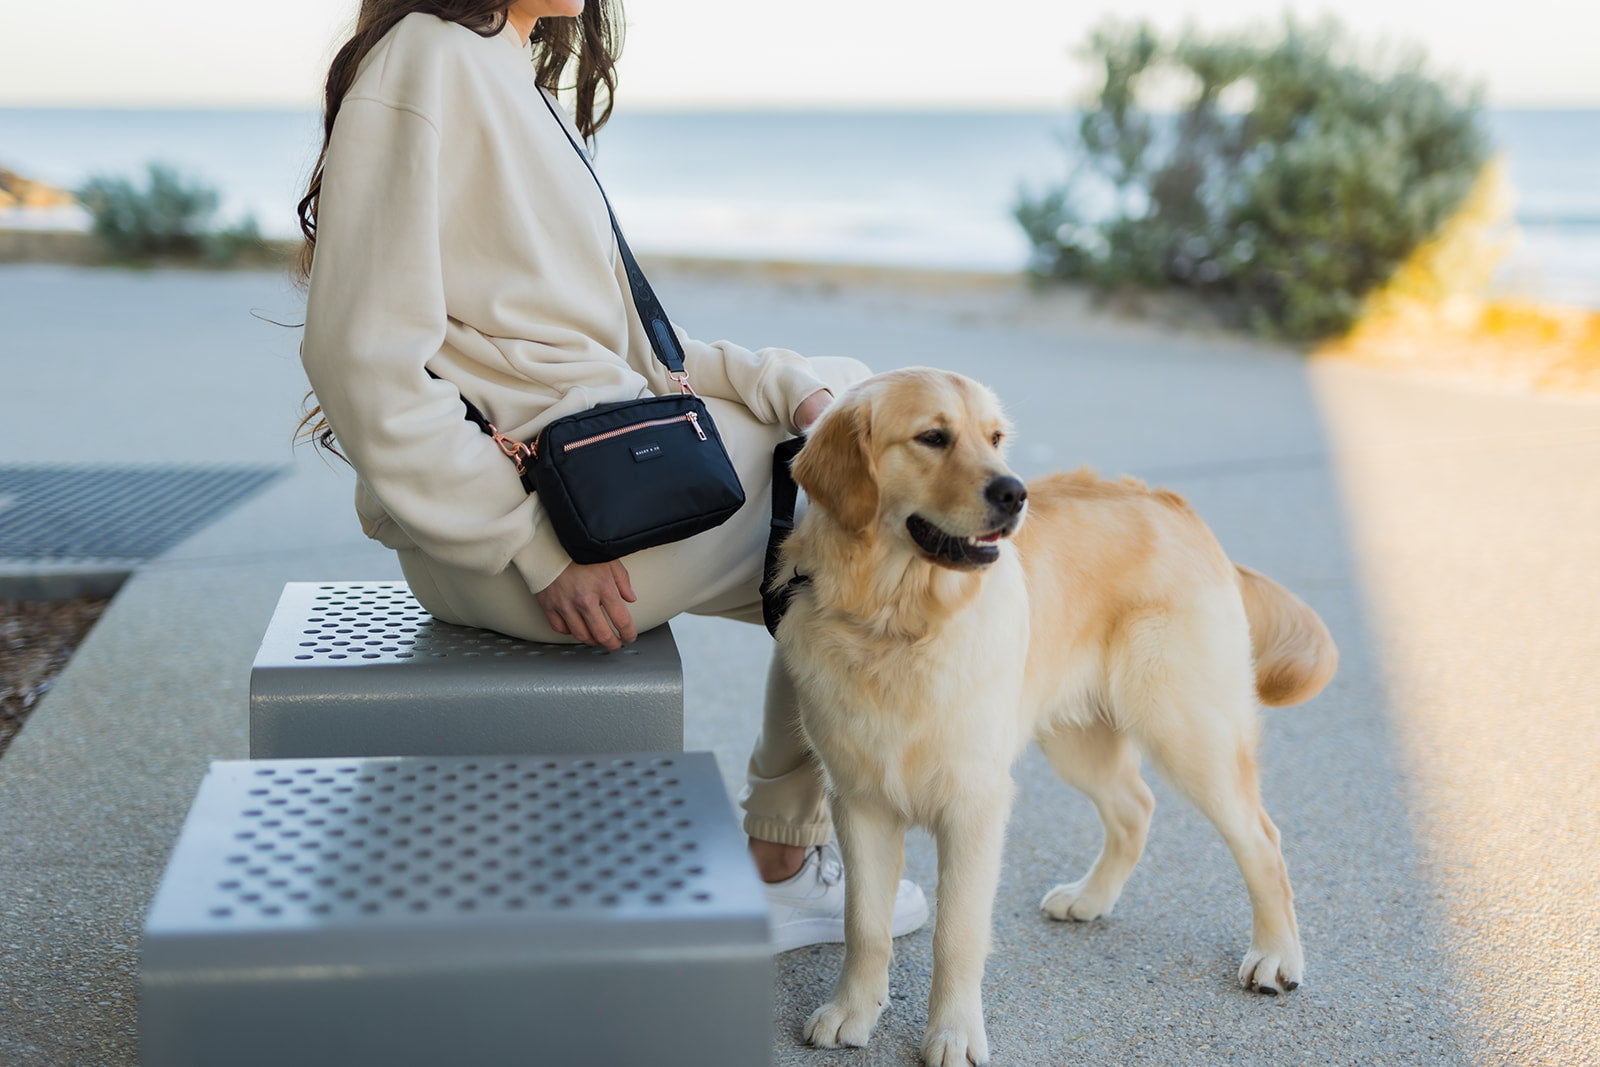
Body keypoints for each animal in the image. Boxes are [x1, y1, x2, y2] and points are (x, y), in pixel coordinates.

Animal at [771, 364, 1337, 1062]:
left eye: (995, 437)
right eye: (932, 437)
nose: (1014, 492)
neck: (897, 624)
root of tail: (1171, 504)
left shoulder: (976, 804)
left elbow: (957, 933)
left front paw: (954, 1034)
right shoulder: (859, 800)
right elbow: (864, 923)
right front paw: (853, 1010)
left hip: (1188, 730)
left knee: (1261, 838)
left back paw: (1276, 955)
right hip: (1078, 743)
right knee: (1135, 807)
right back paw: (1091, 898)